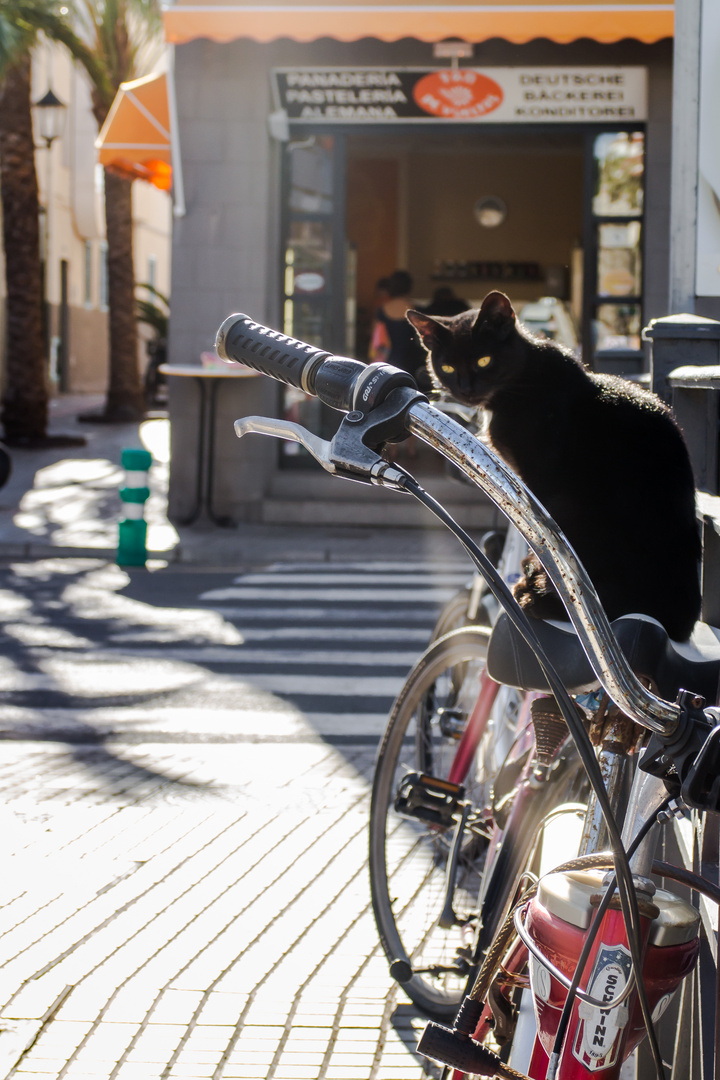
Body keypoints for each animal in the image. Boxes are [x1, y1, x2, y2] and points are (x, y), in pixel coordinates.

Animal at [408, 289, 699, 639]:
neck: (521, 383)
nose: (465, 388)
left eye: (484, 361)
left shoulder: (538, 481)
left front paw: (534, 574)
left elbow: (539, 540)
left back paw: (539, 599)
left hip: (575, 507)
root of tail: (682, 623)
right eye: (448, 367)